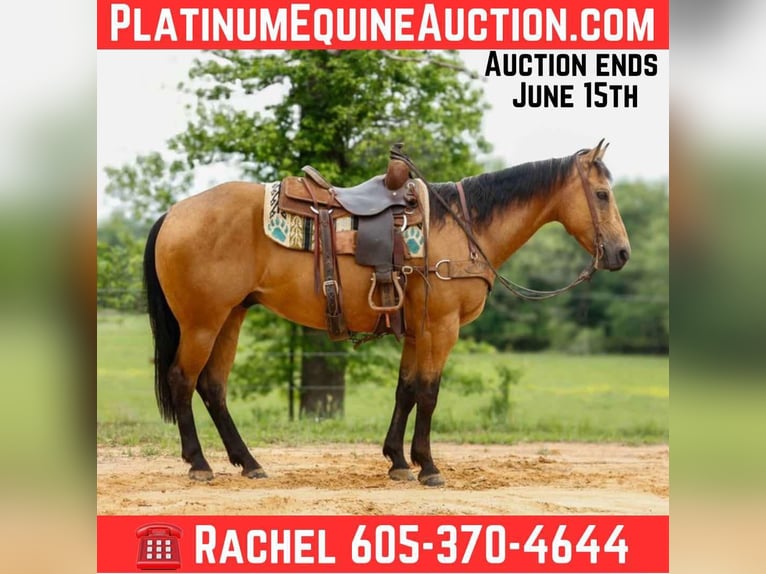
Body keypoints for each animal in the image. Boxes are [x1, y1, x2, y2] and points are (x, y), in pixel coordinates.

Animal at [143, 140, 630, 486]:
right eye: (602, 194)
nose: (622, 253)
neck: (463, 228)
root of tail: (173, 212)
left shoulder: (417, 330)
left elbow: (406, 390)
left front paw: (398, 461)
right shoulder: (440, 328)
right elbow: (429, 393)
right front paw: (429, 467)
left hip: (230, 317)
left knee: (213, 387)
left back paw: (248, 462)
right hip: (202, 323)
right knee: (183, 380)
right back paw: (200, 464)